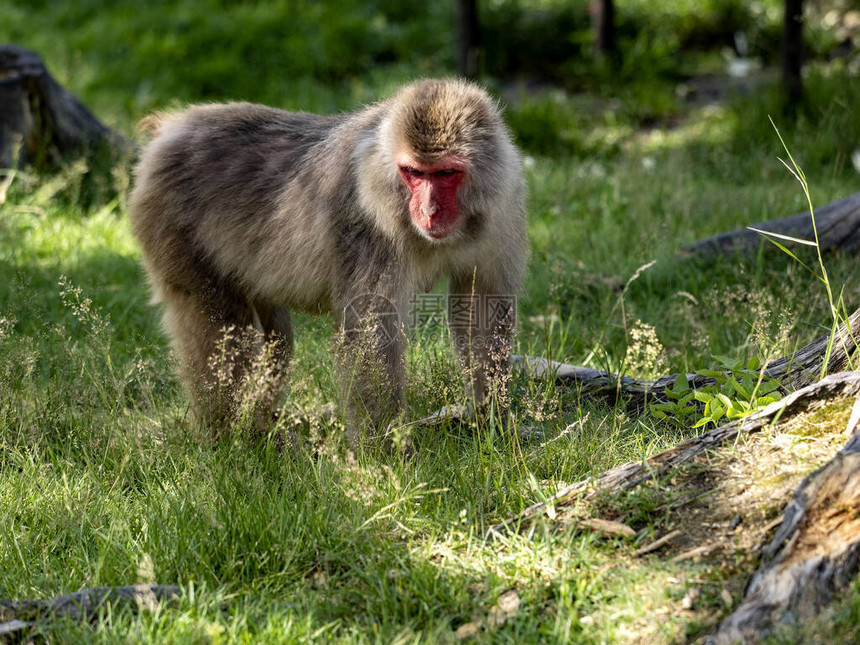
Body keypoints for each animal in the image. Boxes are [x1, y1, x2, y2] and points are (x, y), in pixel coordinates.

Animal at [130, 78, 528, 446]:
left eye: (446, 173)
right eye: (414, 173)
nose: (428, 210)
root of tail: (171, 129)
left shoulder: (503, 206)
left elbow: (480, 307)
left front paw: (492, 420)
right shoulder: (367, 226)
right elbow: (371, 334)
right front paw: (387, 456)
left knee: (277, 337)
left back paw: (263, 426)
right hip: (171, 223)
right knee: (220, 328)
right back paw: (225, 439)